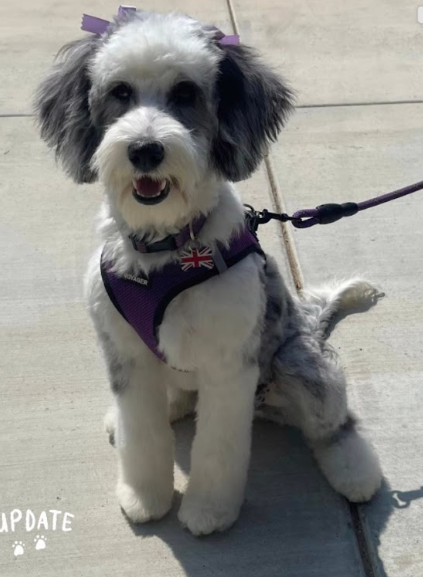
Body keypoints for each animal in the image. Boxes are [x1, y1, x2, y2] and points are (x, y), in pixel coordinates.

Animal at [34, 9, 382, 536]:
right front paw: (144, 496)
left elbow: (218, 448)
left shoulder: (228, 364)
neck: (165, 248)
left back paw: (357, 474)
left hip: (299, 364)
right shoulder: (126, 353)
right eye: (120, 92)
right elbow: (142, 433)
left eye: (185, 93)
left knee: (335, 426)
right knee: (170, 400)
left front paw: (209, 511)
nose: (145, 150)